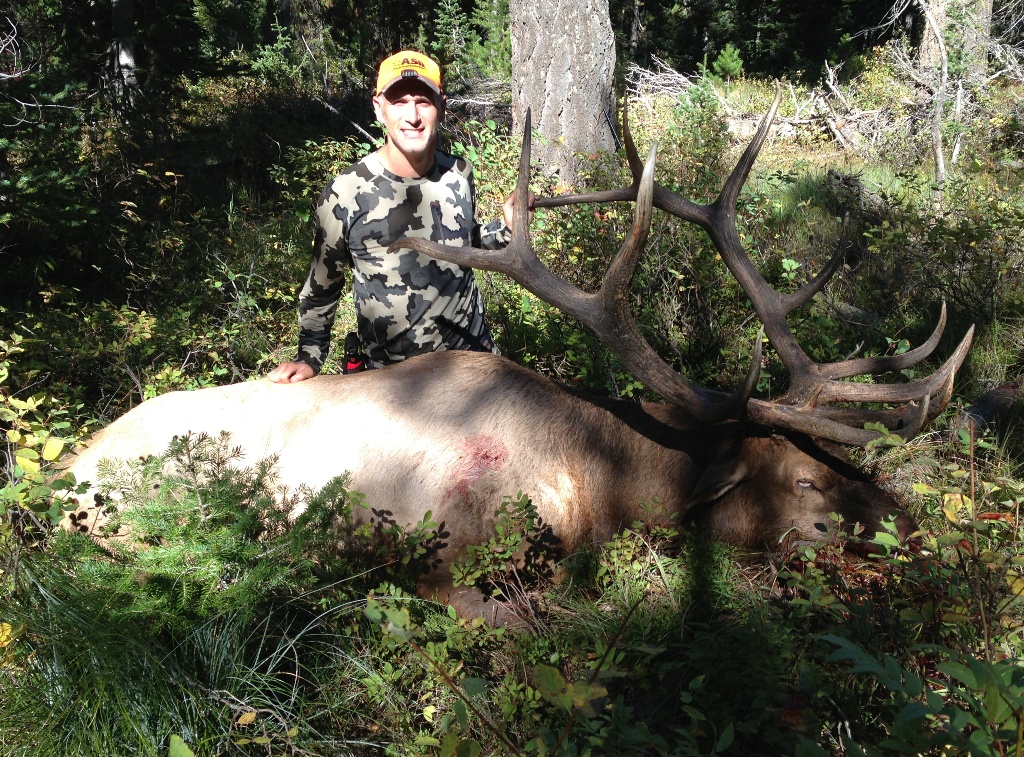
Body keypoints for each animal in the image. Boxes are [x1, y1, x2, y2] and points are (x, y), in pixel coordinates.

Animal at [59, 88, 970, 622]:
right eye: (805, 479)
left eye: (846, 463)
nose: (911, 523)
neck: (601, 476)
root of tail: (63, 468)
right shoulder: (440, 561)